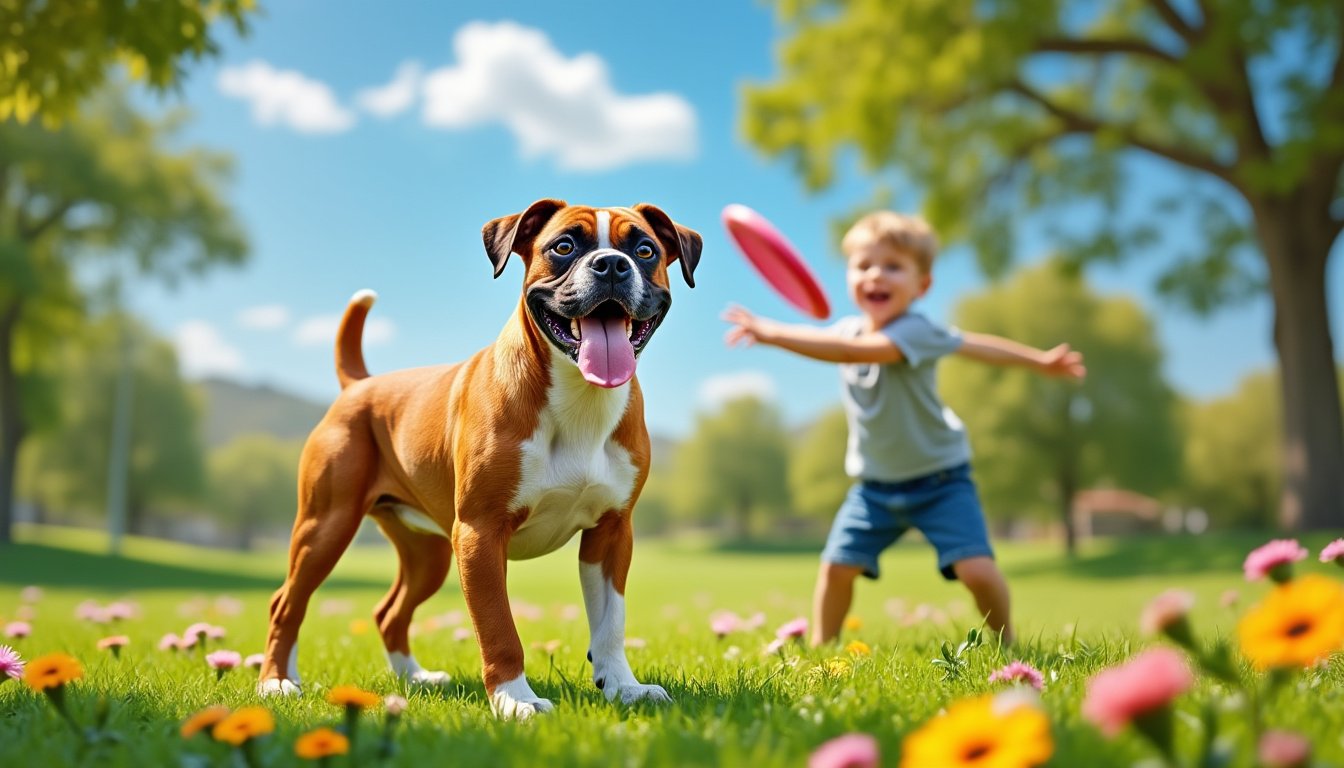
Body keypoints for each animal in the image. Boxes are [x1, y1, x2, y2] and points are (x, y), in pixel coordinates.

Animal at [260, 200, 704, 720]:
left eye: (645, 249)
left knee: (389, 612)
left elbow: (611, 622)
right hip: (325, 528)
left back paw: (415, 678)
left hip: (426, 554)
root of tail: (360, 385)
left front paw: (623, 687)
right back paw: (277, 682)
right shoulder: (481, 533)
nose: (612, 265)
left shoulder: (612, 533)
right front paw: (516, 701)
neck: (580, 398)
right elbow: (498, 628)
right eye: (564, 246)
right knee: (286, 603)